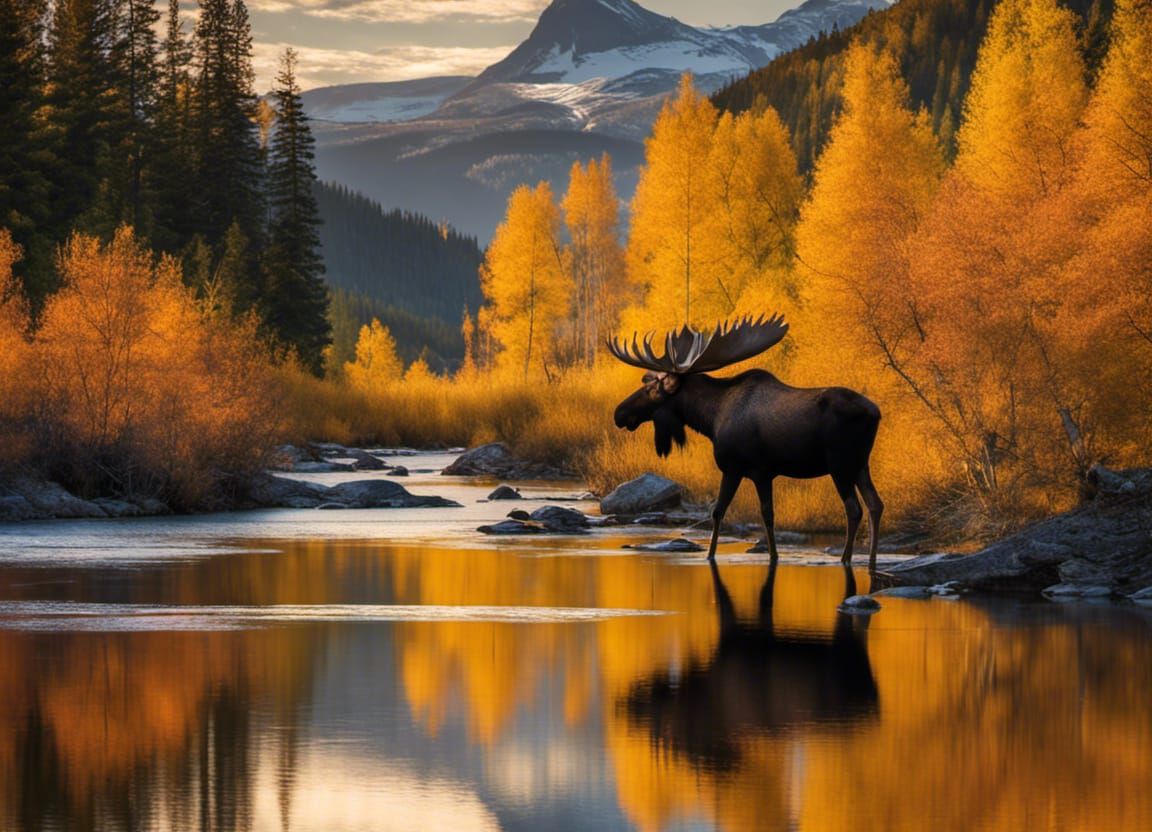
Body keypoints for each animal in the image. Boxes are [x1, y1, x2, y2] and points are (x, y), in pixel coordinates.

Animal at [609, 314, 884, 570]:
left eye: (651, 390)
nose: (619, 413)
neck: (710, 418)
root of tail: (876, 413)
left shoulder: (745, 469)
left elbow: (739, 512)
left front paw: (721, 555)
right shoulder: (757, 472)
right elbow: (749, 513)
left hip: (840, 464)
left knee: (854, 508)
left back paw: (846, 559)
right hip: (861, 464)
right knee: (875, 504)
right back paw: (871, 561)